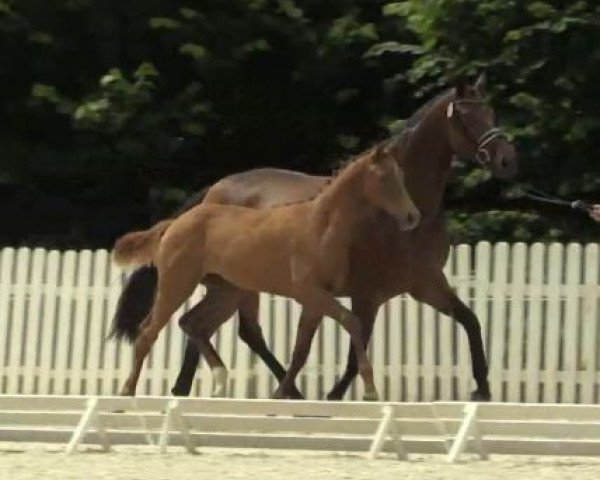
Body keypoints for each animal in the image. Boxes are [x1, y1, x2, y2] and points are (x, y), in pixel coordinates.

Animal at [113, 144, 422, 400]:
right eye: (384, 178)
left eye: (401, 175)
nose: (412, 217)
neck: (320, 226)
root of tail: (174, 224)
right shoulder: (309, 293)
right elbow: (352, 322)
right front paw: (371, 391)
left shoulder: (315, 301)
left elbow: (301, 349)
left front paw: (283, 393)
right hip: (177, 285)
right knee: (149, 330)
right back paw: (127, 391)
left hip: (226, 293)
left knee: (193, 323)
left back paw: (220, 381)